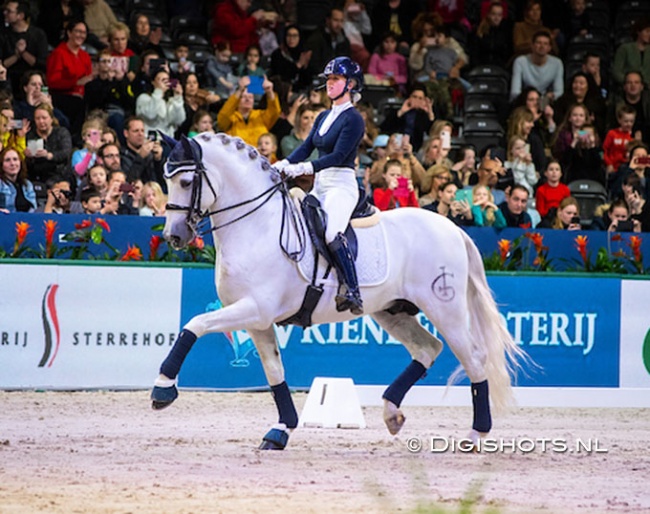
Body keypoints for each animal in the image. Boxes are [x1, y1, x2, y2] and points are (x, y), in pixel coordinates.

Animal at [152, 133, 520, 448]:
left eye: (186, 182)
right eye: (166, 180)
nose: (173, 236)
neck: (256, 226)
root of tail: (453, 229)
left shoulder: (255, 308)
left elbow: (195, 325)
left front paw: (163, 389)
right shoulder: (258, 320)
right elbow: (274, 371)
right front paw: (280, 430)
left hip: (445, 308)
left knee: (474, 359)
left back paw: (476, 434)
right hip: (391, 311)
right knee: (428, 348)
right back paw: (392, 413)